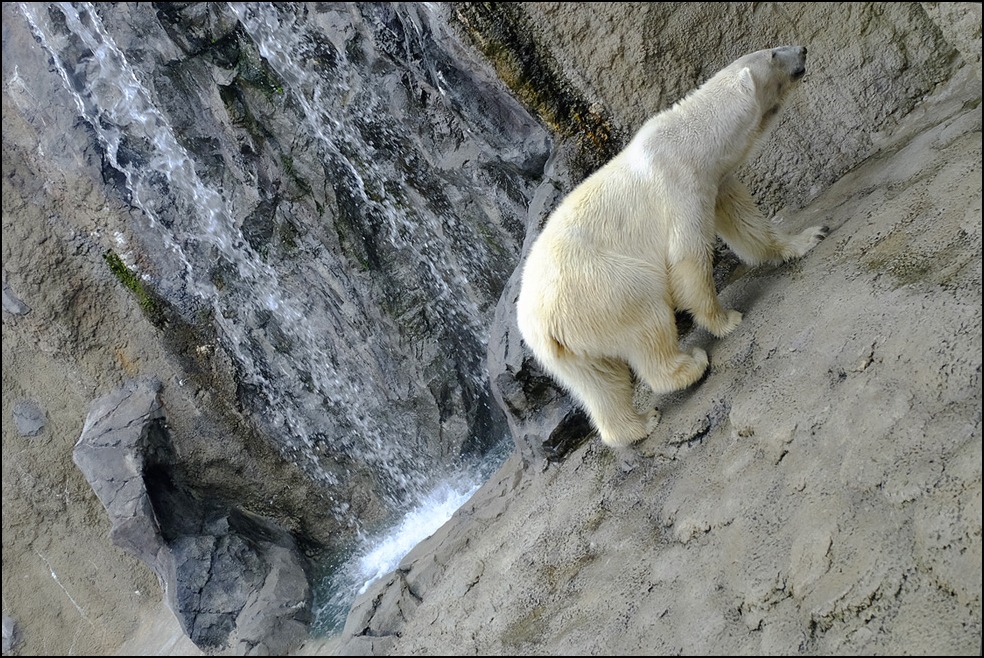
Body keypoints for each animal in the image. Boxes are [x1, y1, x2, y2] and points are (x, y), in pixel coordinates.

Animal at [520, 44, 828, 446]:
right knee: (646, 321)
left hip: (568, 345)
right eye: (774, 53)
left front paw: (807, 237)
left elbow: (746, 222)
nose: (802, 49)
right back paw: (690, 365)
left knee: (599, 382)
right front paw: (725, 319)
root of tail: (540, 325)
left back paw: (638, 424)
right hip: (602, 289)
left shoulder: (715, 180)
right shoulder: (681, 186)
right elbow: (688, 258)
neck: (692, 140)